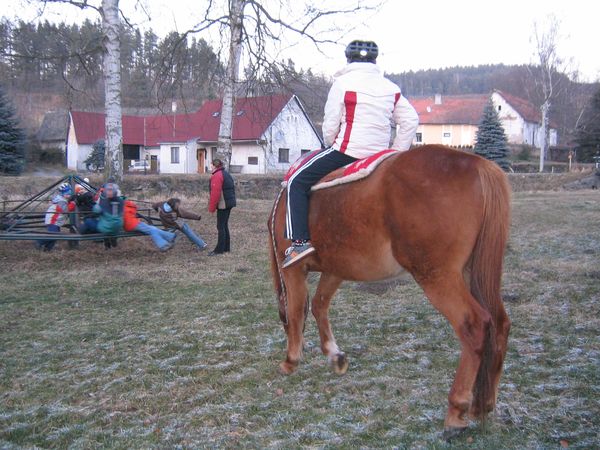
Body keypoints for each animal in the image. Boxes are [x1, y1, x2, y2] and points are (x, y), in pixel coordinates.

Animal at [267, 144, 511, 438]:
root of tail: (478, 165)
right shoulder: (336, 270)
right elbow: (319, 304)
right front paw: (335, 355)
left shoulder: (294, 269)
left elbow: (295, 311)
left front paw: (291, 360)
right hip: (472, 273)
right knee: (499, 324)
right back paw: (484, 404)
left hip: (438, 277)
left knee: (474, 325)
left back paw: (457, 408)